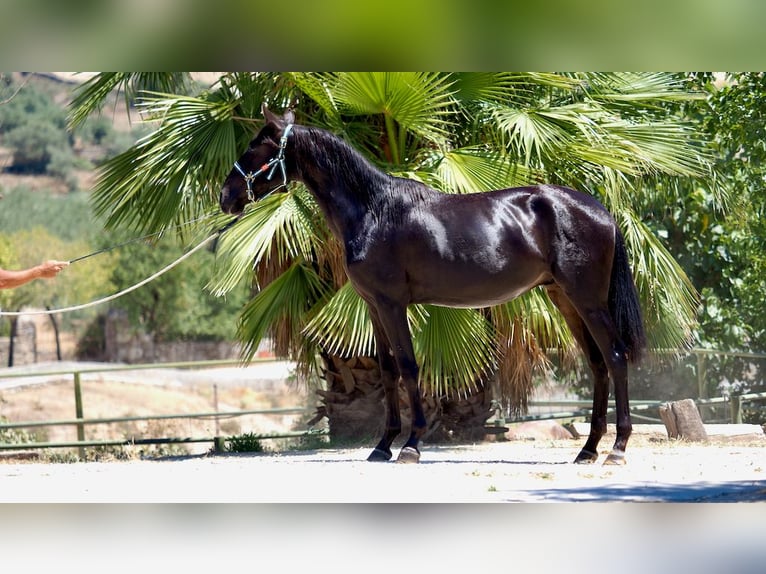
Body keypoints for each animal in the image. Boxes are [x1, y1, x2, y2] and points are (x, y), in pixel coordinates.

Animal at [222, 106, 648, 468]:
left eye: (256, 149)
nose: (226, 197)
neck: (375, 210)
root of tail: (600, 211)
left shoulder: (393, 304)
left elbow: (409, 367)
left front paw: (410, 446)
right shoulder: (374, 305)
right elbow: (389, 371)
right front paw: (382, 446)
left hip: (588, 300)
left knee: (615, 357)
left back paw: (617, 450)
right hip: (565, 299)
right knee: (597, 364)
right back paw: (588, 450)